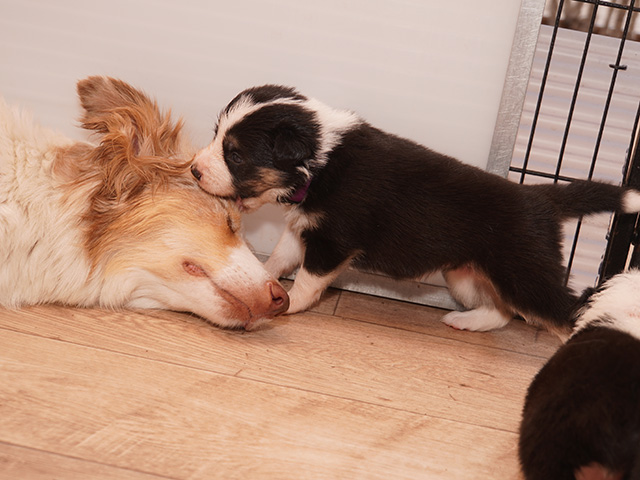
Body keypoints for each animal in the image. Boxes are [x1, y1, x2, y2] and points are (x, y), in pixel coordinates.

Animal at [190, 84, 640, 335]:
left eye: (235, 155)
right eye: (216, 136)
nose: (193, 170)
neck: (319, 164)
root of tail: (540, 199)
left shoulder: (333, 241)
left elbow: (306, 280)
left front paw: (289, 304)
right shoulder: (302, 229)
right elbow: (279, 260)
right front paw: (264, 282)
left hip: (524, 272)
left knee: (564, 314)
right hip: (466, 276)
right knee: (504, 312)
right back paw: (467, 322)